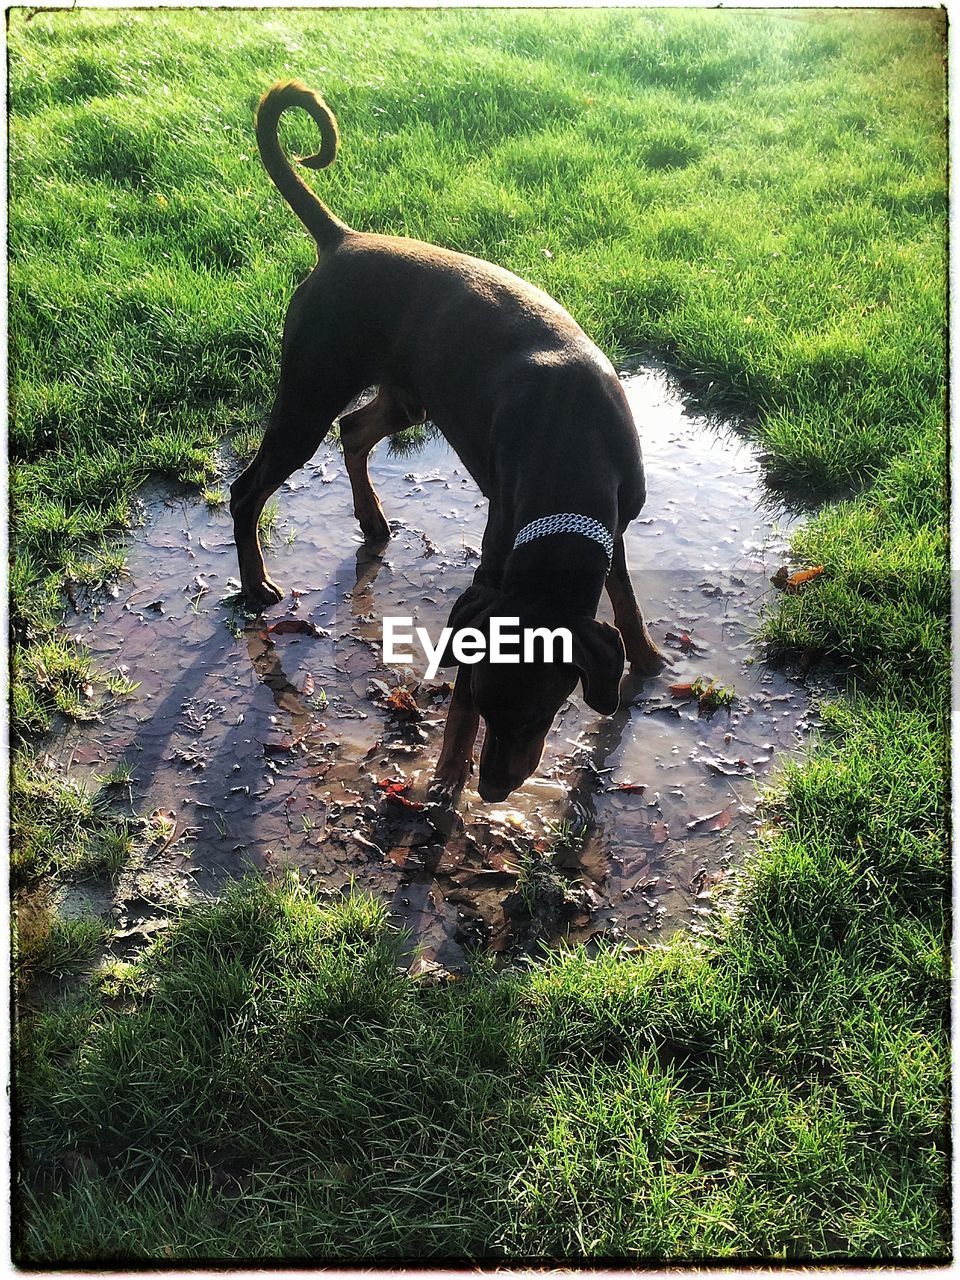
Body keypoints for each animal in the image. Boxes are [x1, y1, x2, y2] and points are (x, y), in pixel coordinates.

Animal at [232, 82, 670, 798]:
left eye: (541, 713)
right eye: (488, 704)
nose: (491, 789)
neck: (572, 441)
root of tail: (341, 240)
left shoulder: (616, 522)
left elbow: (627, 601)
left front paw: (650, 657)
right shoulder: (496, 552)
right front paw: (445, 774)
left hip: (405, 396)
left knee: (354, 432)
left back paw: (373, 522)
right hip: (308, 396)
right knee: (248, 489)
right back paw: (255, 585)